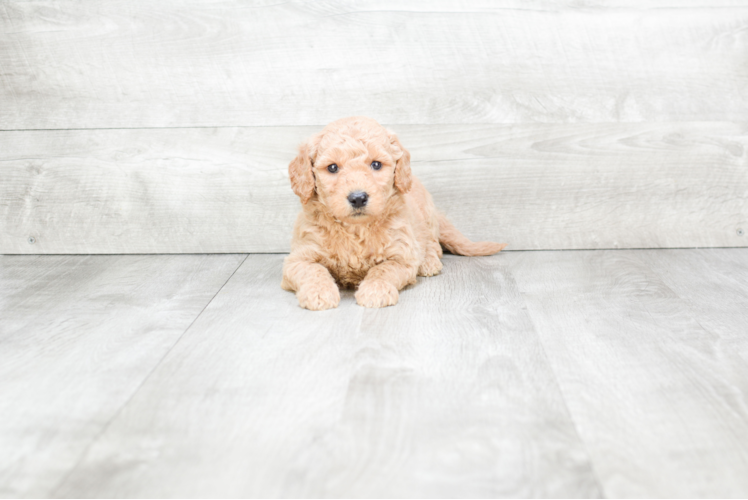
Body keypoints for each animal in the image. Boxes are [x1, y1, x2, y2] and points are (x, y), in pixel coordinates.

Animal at [282, 118, 508, 312]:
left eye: (376, 164)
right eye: (332, 168)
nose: (358, 198)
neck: (356, 229)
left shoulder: (401, 254)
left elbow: (383, 270)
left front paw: (375, 291)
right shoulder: (299, 257)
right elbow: (312, 270)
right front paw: (318, 293)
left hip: (427, 216)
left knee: (432, 244)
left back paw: (428, 262)